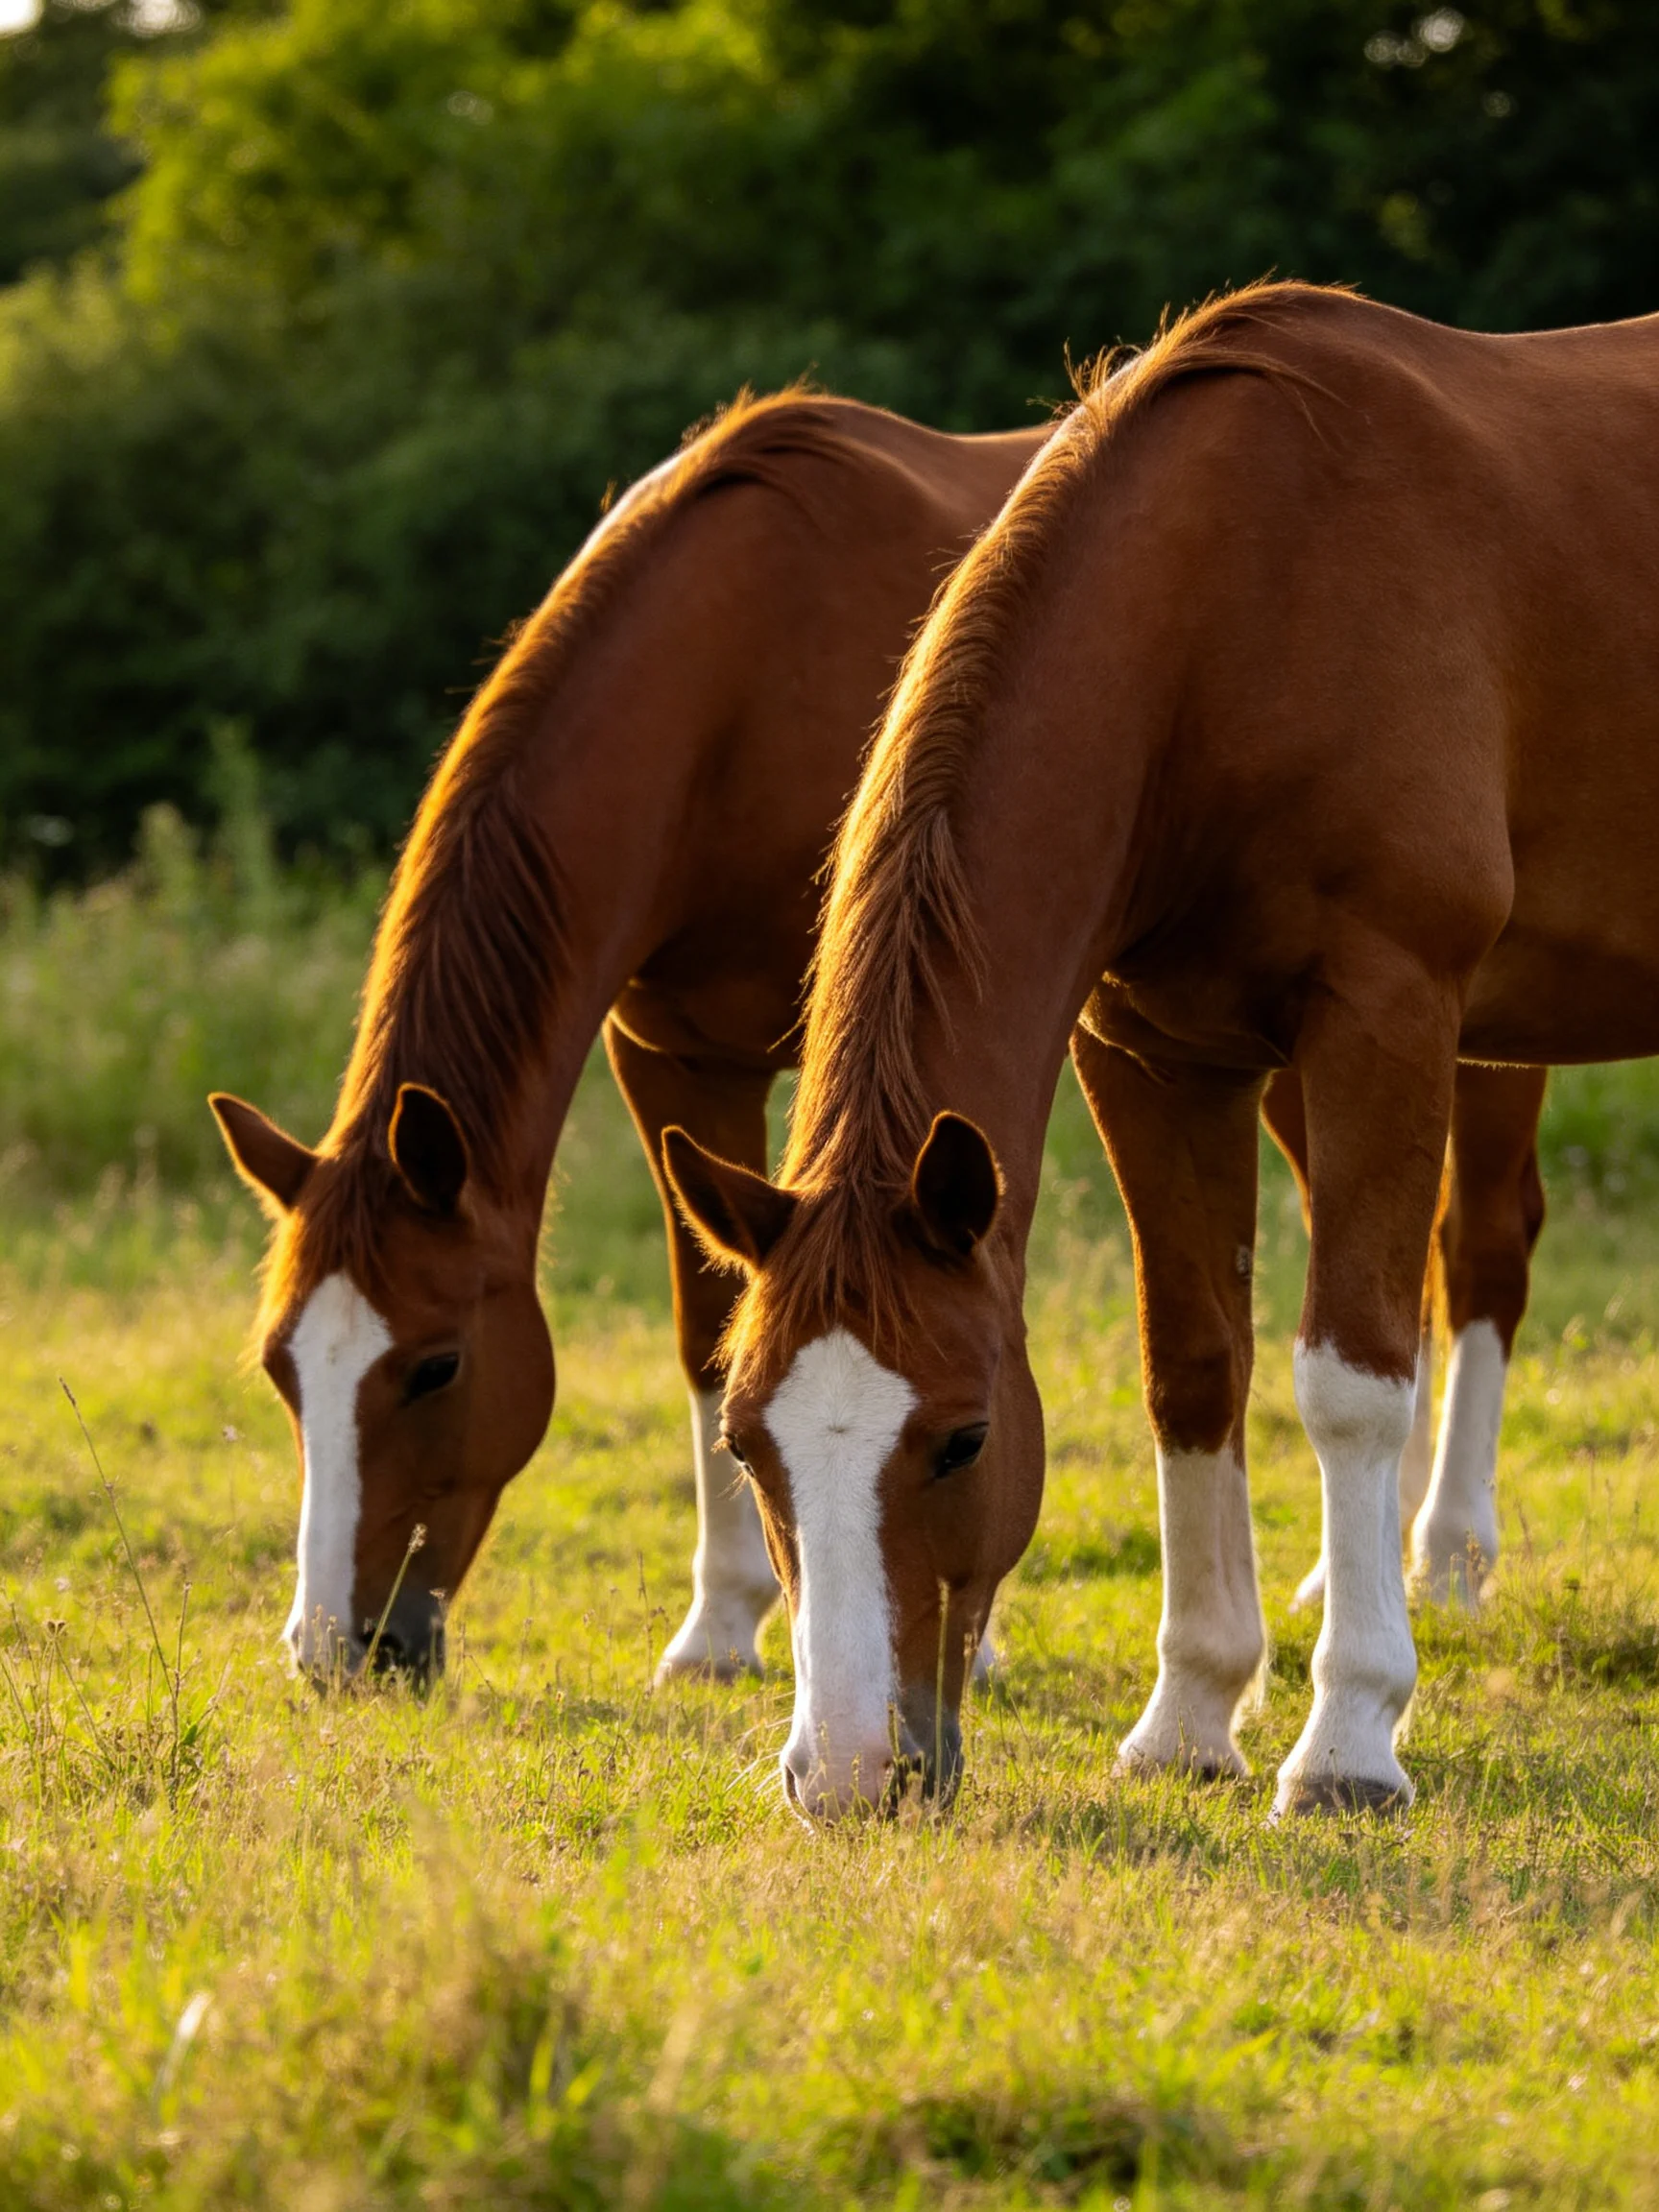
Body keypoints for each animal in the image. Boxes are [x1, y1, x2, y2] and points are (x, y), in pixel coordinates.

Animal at [210, 391, 1048, 1683]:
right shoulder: (672, 1059)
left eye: (438, 1366)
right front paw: (719, 1629)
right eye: (280, 1367)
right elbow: (712, 1337)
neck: (738, 684)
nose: (338, 1649)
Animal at [665, 279, 1647, 1819]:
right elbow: (1193, 1366)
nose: (852, 1774)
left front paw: (1348, 1738)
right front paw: (1191, 1713)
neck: (1241, 601)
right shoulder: (1151, 1052)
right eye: (746, 1440)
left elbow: (1350, 1381)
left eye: (965, 1438)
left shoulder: (1385, 1014)